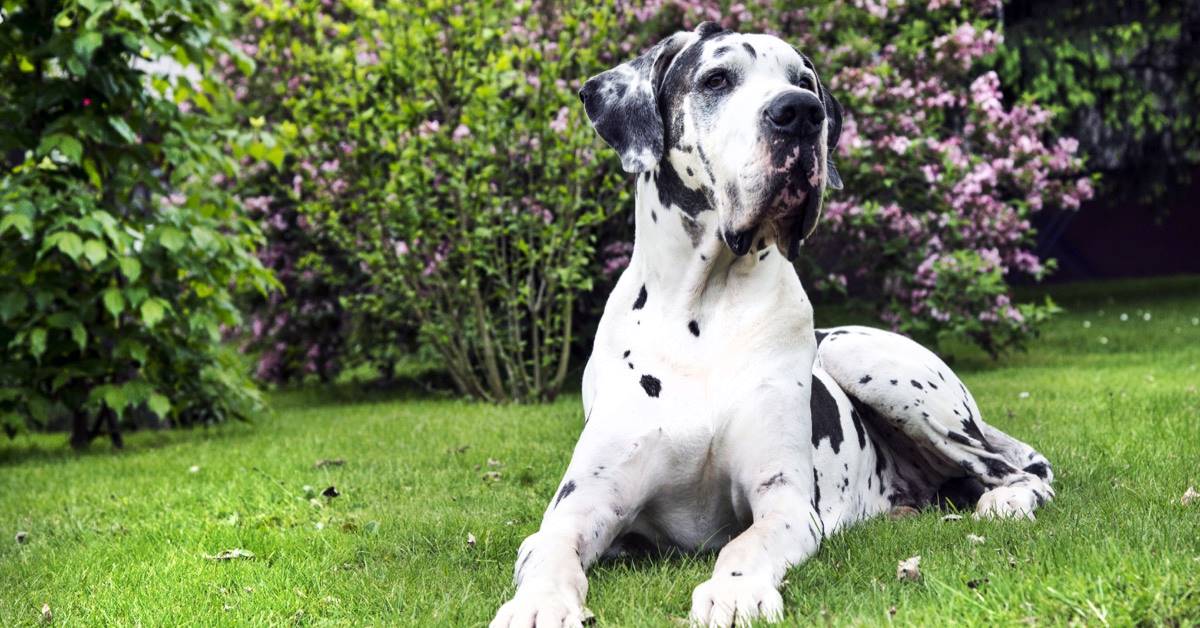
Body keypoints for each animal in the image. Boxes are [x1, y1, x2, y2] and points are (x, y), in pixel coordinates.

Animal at [487, 22, 1051, 624]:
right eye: (716, 78)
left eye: (803, 80)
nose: (800, 112)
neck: (703, 311)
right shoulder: (581, 504)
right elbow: (550, 549)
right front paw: (538, 604)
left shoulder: (783, 499)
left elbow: (745, 544)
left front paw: (734, 592)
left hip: (876, 369)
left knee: (1019, 471)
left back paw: (1005, 500)